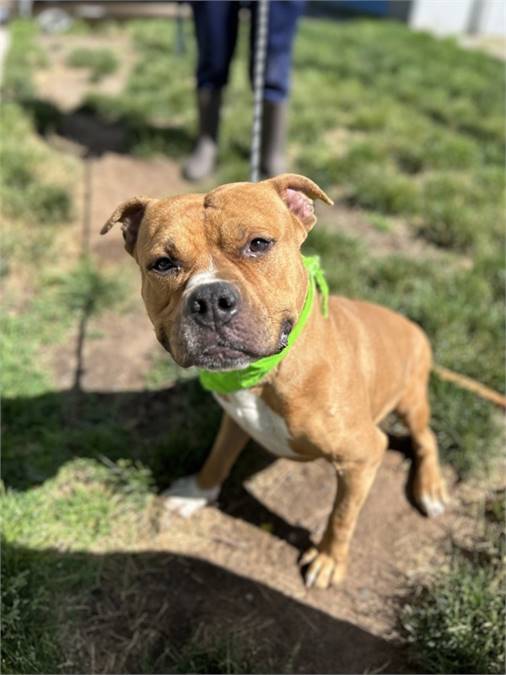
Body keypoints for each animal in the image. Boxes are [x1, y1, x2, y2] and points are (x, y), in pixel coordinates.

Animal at [102, 176, 446, 592]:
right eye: (163, 264)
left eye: (259, 244)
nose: (210, 299)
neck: (264, 373)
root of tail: (413, 325)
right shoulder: (234, 418)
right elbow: (218, 457)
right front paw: (197, 492)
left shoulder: (362, 455)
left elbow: (342, 514)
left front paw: (329, 559)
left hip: (411, 399)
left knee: (427, 439)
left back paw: (430, 488)